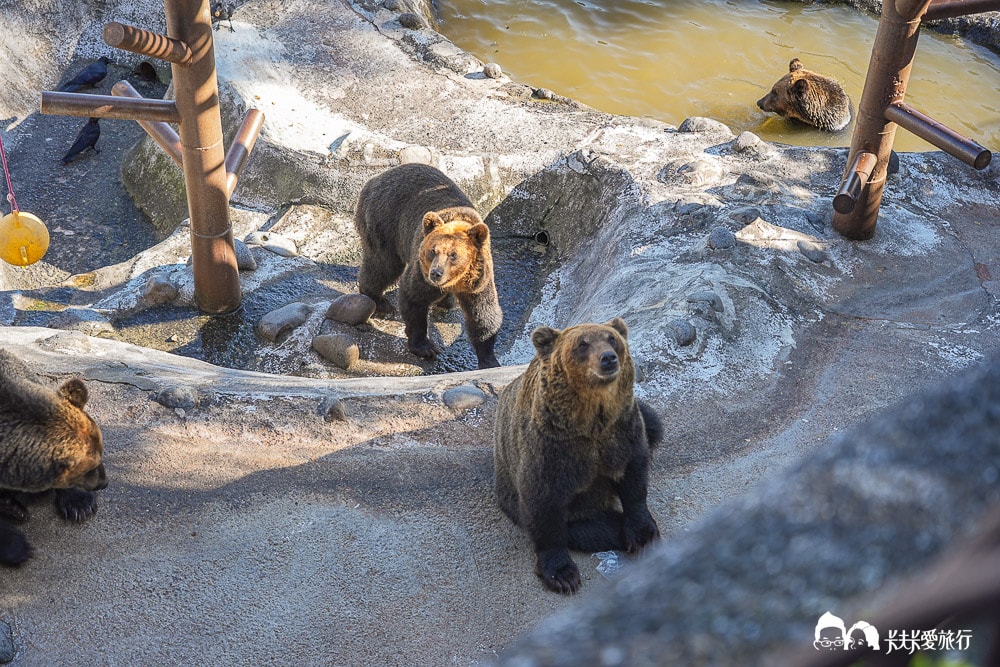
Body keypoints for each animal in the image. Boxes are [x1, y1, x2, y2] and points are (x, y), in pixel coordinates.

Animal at [354, 163, 503, 370]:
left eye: (453, 255)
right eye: (433, 251)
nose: (436, 273)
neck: (456, 280)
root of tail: (375, 178)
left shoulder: (478, 280)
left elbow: (483, 314)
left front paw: (489, 360)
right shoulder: (422, 272)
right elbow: (414, 299)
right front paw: (426, 347)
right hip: (384, 222)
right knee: (383, 265)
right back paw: (379, 299)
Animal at [493, 318, 663, 594]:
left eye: (612, 338)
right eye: (582, 344)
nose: (608, 358)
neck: (591, 421)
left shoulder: (623, 431)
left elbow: (634, 479)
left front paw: (644, 536)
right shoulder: (551, 448)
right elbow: (543, 505)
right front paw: (562, 574)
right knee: (587, 529)